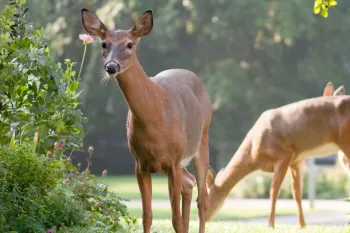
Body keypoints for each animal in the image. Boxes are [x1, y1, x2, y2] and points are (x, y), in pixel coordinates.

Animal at [81, 7, 213, 233]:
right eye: (103, 44)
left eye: (130, 44)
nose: (111, 66)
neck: (155, 121)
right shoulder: (139, 163)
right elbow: (147, 216)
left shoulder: (174, 160)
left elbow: (175, 219)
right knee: (190, 183)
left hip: (201, 140)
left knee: (203, 199)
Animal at [205, 81, 350, 228]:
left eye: (204, 199)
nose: (203, 219)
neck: (253, 153)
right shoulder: (296, 160)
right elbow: (296, 192)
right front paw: (302, 225)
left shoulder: (284, 155)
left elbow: (273, 190)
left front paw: (270, 225)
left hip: (345, 143)